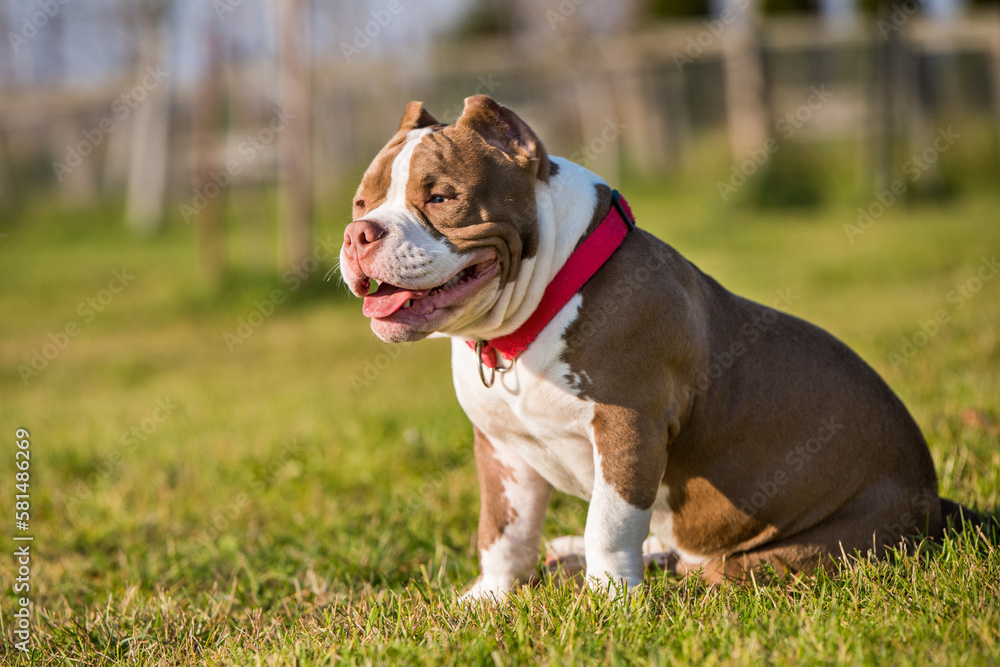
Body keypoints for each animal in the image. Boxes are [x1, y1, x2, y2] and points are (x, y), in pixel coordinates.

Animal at [340, 94, 972, 600]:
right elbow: (503, 532)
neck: (530, 317)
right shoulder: (502, 449)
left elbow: (610, 522)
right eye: (360, 203)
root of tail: (935, 501)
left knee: (712, 568)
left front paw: (610, 601)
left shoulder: (629, 426)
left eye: (441, 197)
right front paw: (488, 599)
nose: (358, 234)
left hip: (810, 548)